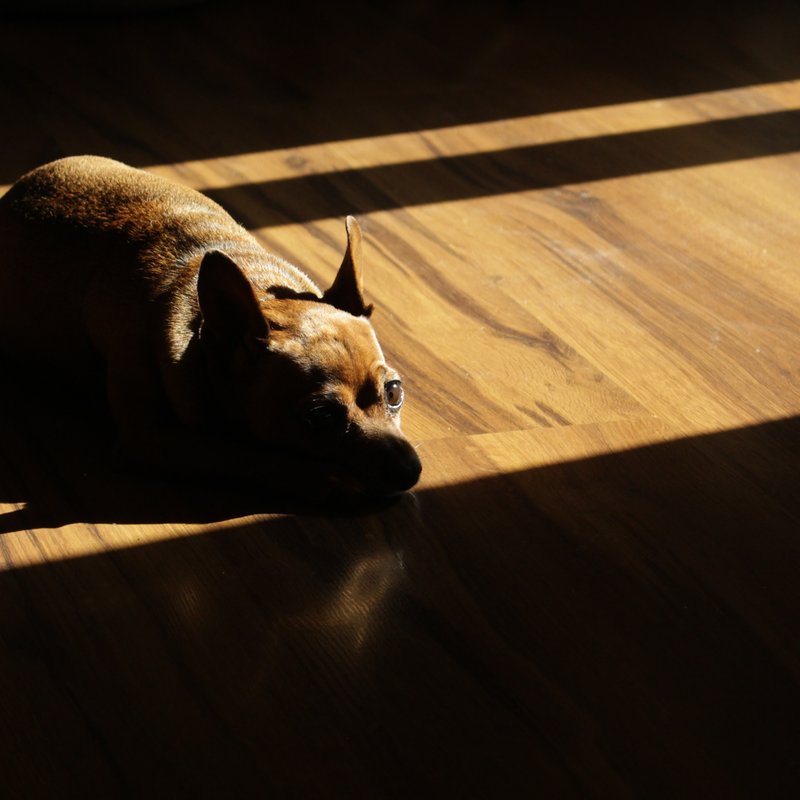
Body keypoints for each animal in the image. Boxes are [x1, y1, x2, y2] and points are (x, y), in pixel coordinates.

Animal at [0, 155, 422, 500]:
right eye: (320, 416)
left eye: (394, 392)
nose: (410, 470)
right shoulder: (156, 439)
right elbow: (244, 456)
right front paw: (327, 479)